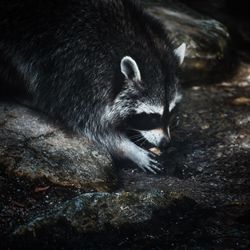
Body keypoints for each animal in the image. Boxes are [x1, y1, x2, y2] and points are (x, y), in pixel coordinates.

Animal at [0, 0, 185, 174]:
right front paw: (128, 148)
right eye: (152, 117)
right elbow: (90, 125)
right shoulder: (77, 73)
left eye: (170, 113)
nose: (165, 143)